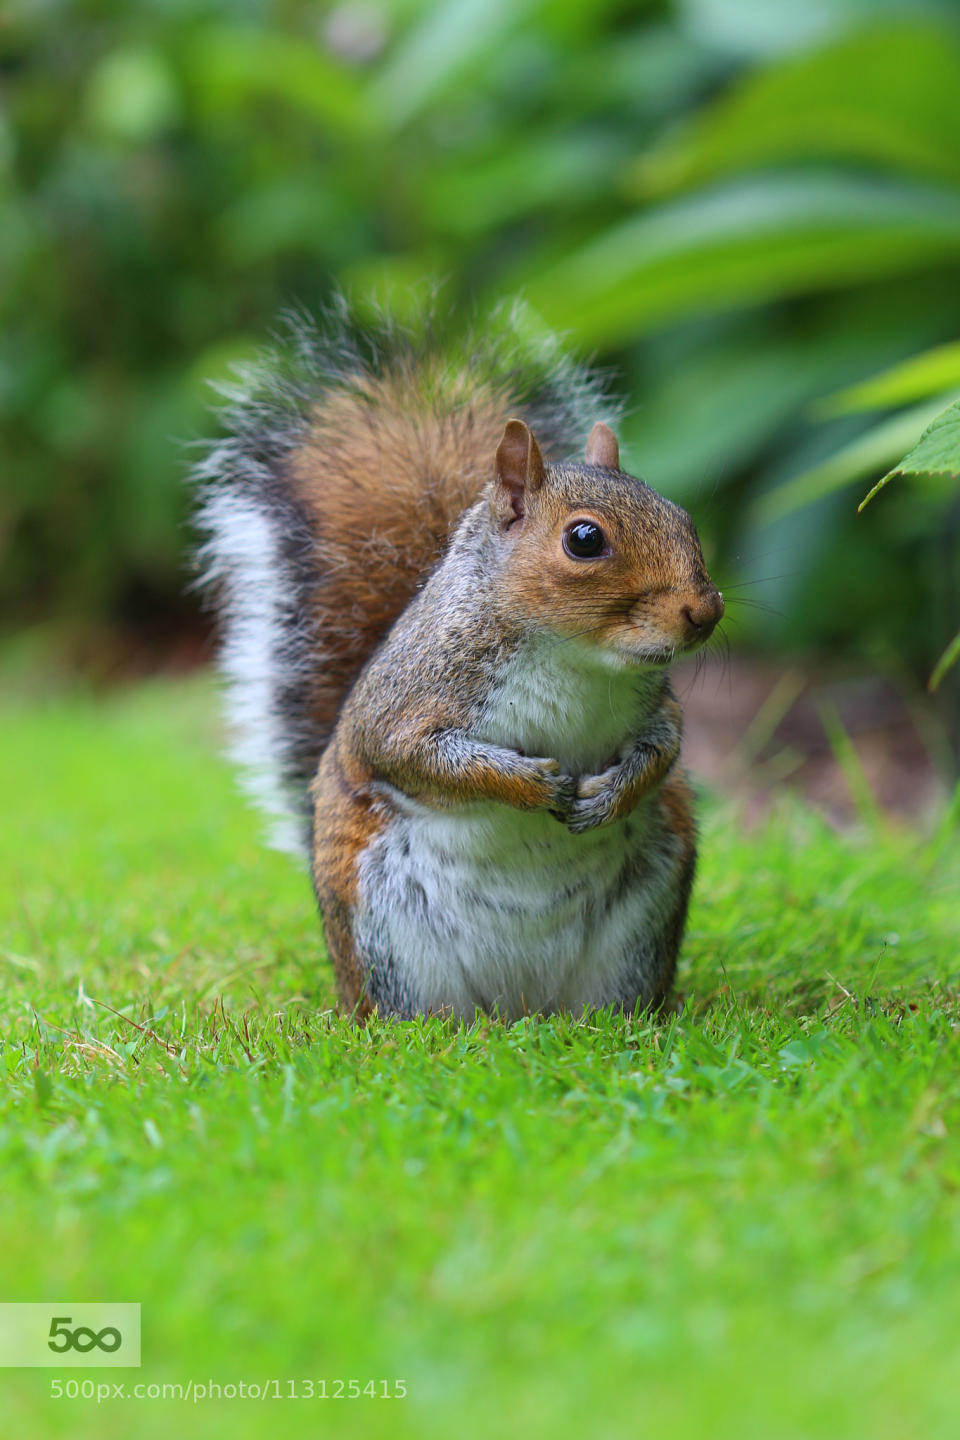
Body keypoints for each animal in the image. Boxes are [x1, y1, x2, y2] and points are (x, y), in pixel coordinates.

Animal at [192, 298, 719, 1025]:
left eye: (683, 515)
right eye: (585, 539)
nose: (706, 610)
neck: (577, 658)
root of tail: (520, 1004)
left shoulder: (655, 703)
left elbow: (664, 748)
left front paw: (611, 793)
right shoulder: (409, 699)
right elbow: (415, 755)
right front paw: (530, 784)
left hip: (641, 925)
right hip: (383, 930)